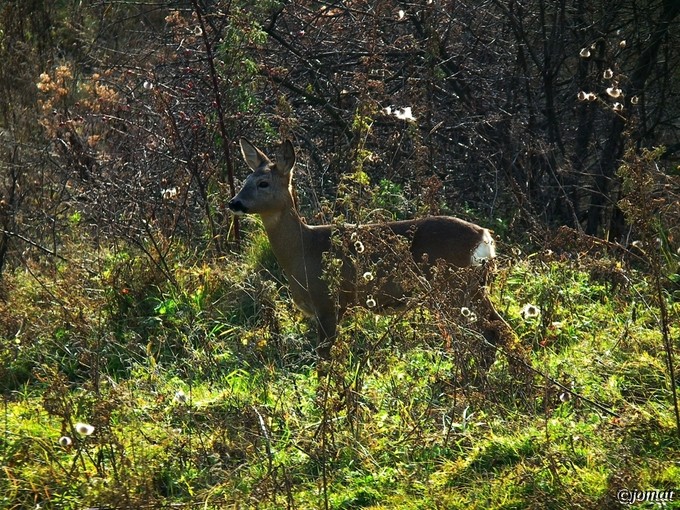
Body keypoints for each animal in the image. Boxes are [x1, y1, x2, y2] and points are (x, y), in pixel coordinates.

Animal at [230, 137, 510, 360]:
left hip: (458, 287)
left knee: (493, 329)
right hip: (471, 287)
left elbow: (323, 356)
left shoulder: (330, 300)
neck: (303, 249)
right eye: (245, 179)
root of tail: (485, 238)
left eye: (263, 183)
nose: (234, 202)